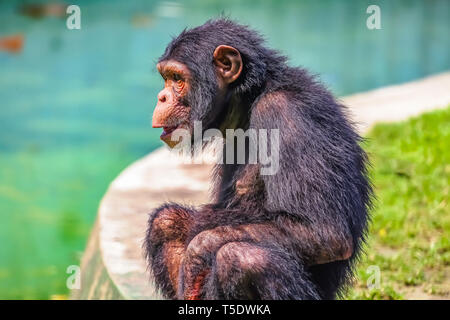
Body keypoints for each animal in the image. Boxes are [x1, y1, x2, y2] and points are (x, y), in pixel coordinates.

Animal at [144, 18, 372, 300]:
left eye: (177, 79)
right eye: (166, 78)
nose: (161, 97)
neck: (251, 100)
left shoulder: (286, 115)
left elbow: (325, 233)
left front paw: (198, 249)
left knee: (243, 258)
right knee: (167, 221)